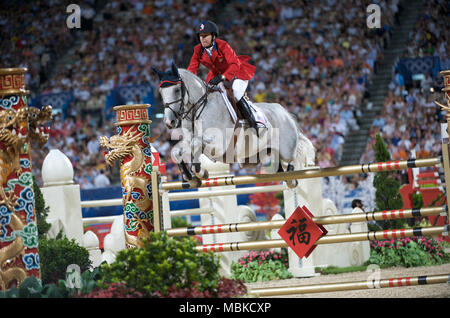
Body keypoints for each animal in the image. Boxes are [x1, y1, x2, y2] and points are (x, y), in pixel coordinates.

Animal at [151, 62, 312, 186]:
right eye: (161, 92)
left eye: (177, 90)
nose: (169, 122)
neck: (198, 108)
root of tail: (286, 113)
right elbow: (176, 152)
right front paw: (191, 178)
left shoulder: (218, 145)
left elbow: (196, 144)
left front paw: (200, 173)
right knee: (279, 167)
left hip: (286, 149)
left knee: (291, 160)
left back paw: (292, 179)